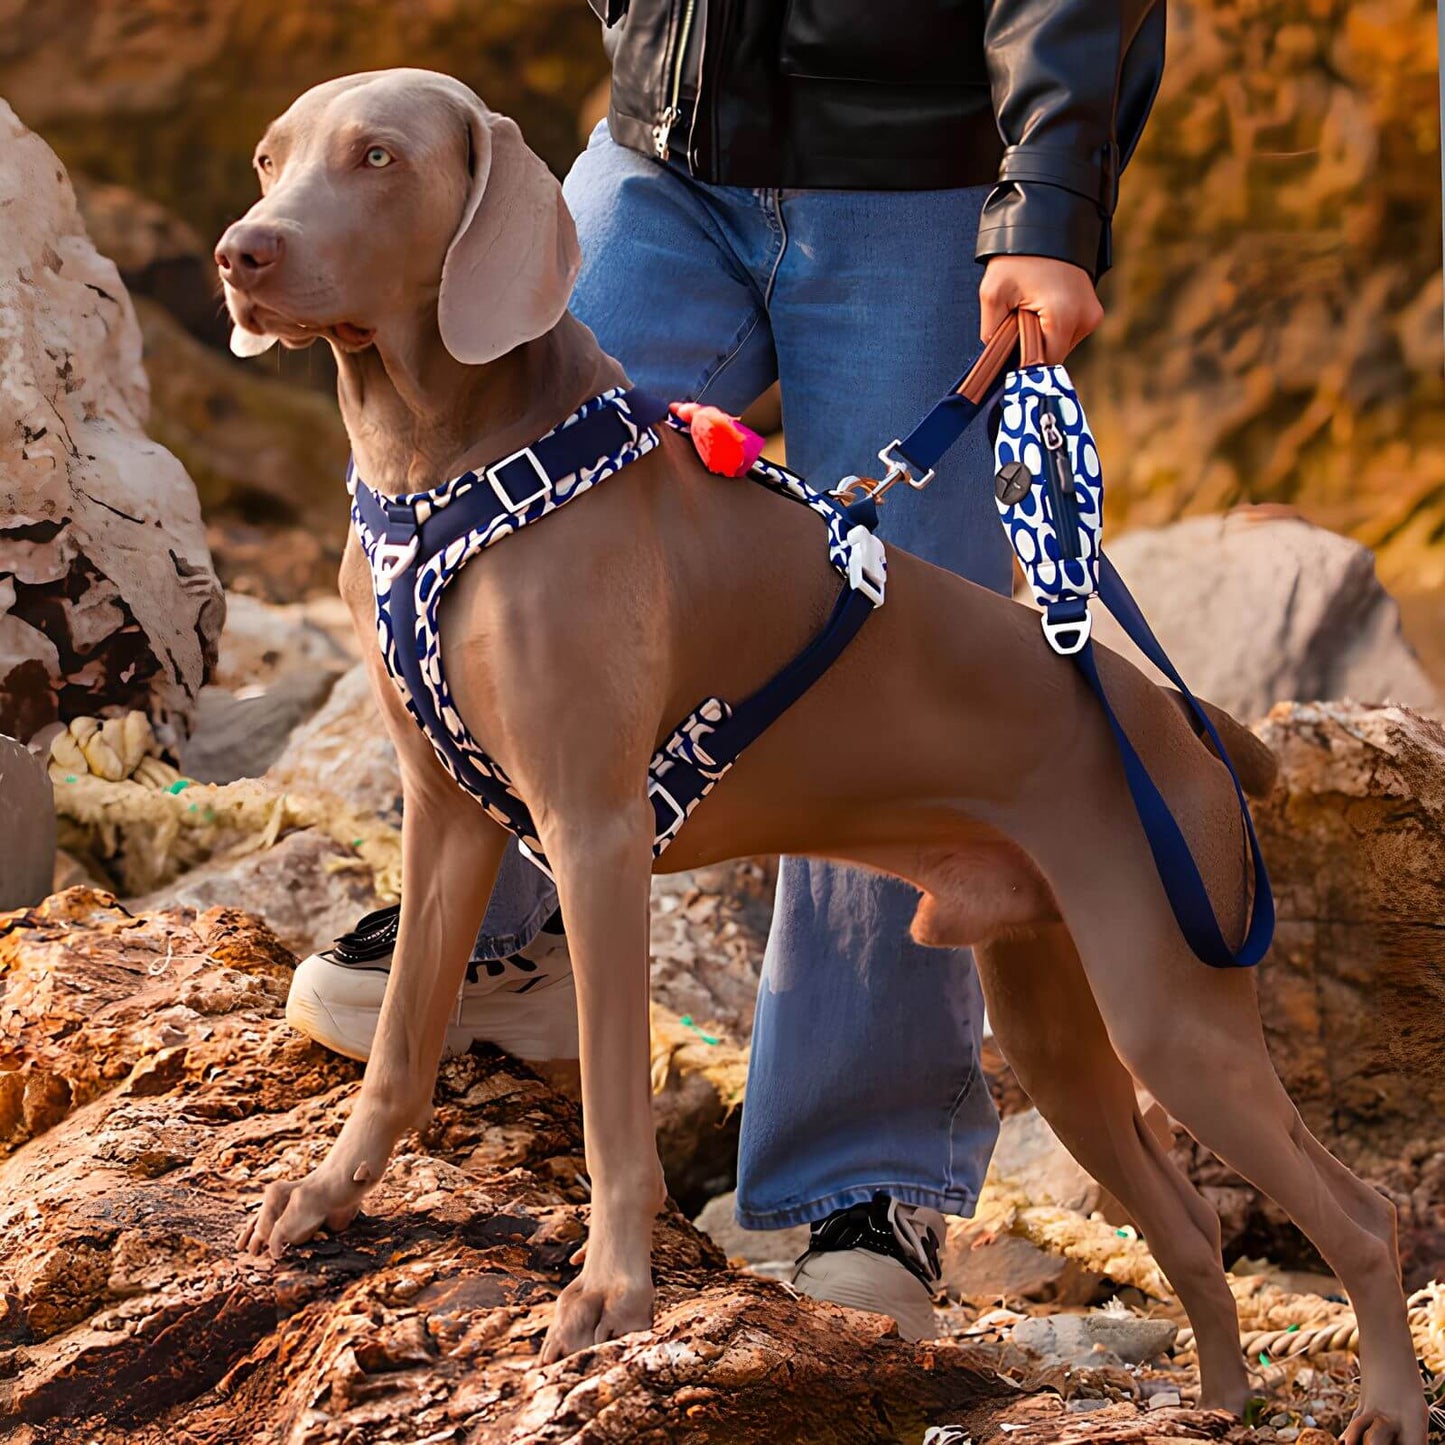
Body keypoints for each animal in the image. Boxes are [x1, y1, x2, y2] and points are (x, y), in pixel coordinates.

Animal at [219, 70, 1427, 1445]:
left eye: (377, 157)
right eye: (269, 158)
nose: (241, 253)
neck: (448, 470)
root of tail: (1187, 718)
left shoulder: (593, 828)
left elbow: (615, 1114)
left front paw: (613, 1293)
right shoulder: (449, 811)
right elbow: (400, 1048)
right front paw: (326, 1196)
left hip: (1171, 999)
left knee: (1356, 1213)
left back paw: (1385, 1405)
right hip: (1061, 1013)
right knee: (1181, 1220)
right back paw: (1217, 1401)